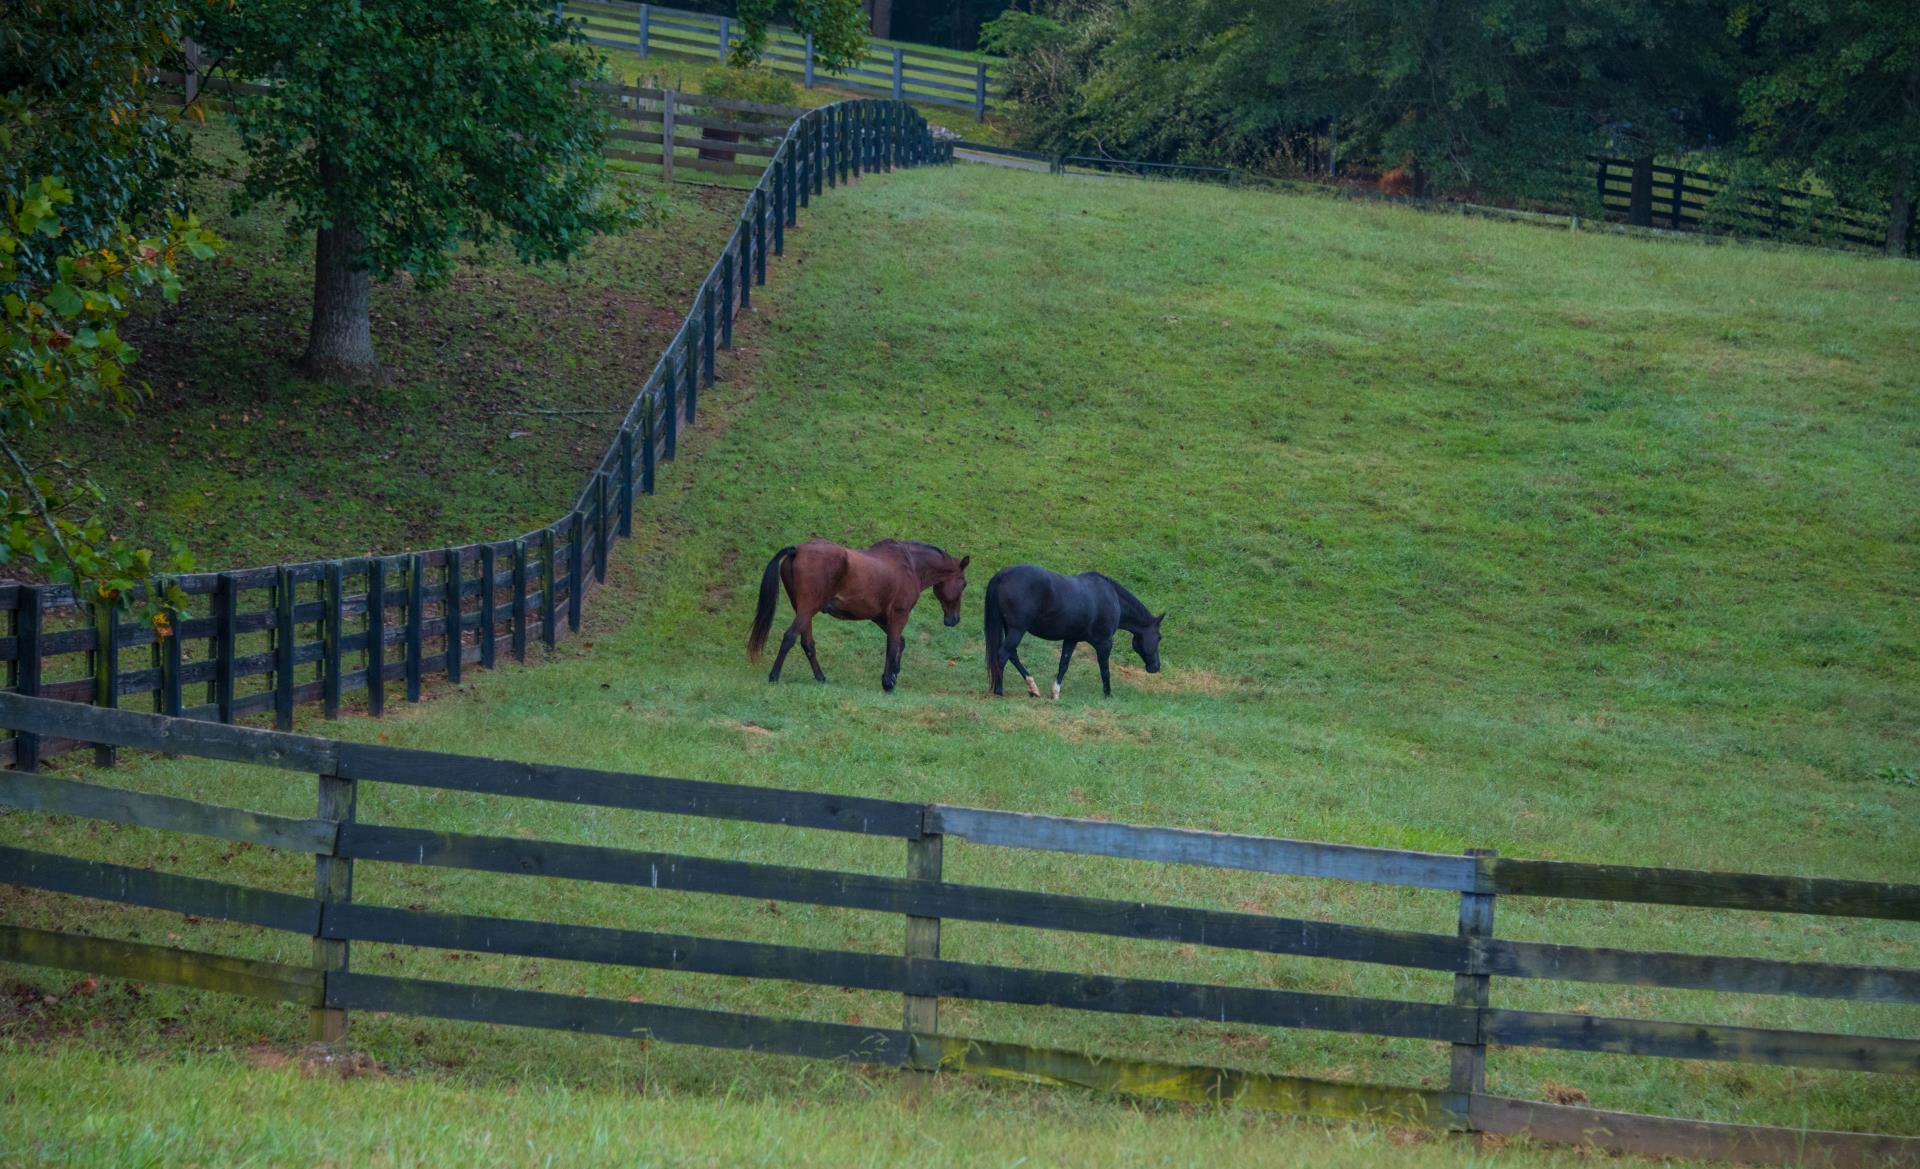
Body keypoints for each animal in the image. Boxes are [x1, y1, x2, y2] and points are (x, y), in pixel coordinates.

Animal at [741, 541, 967, 691]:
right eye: (964, 584)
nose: (954, 619)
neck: (910, 565)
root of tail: (797, 550)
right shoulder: (899, 615)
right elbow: (893, 645)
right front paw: (888, 682)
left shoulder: (880, 617)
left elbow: (899, 643)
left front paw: (893, 674)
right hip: (807, 609)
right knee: (790, 637)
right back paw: (774, 676)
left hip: (802, 610)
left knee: (808, 644)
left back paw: (820, 677)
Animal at [983, 568, 1159, 702]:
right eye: (1159, 637)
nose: (1156, 667)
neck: (1111, 597)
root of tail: (1003, 574)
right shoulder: (1104, 643)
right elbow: (1105, 669)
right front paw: (1108, 695)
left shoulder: (1071, 639)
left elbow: (1063, 665)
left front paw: (1055, 693)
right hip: (1017, 630)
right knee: (1002, 655)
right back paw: (999, 691)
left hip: (1010, 629)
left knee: (1012, 655)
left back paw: (1033, 688)